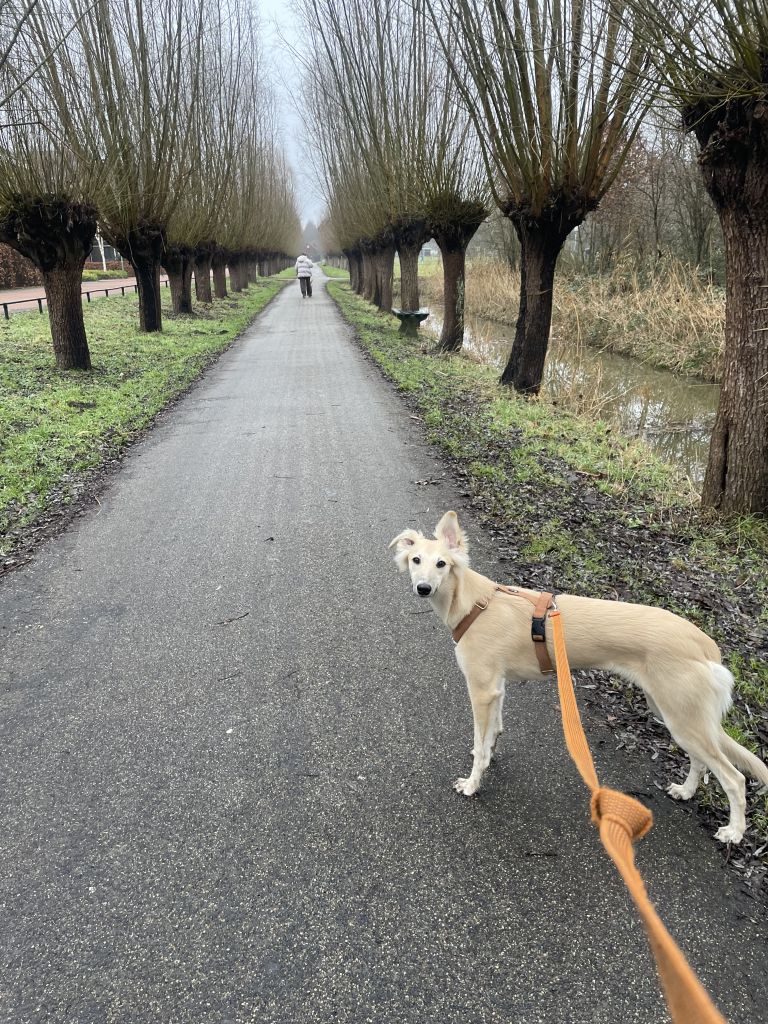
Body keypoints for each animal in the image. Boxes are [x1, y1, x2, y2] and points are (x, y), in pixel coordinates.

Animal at [389, 510, 768, 844]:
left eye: (442, 564)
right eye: (416, 560)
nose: (423, 588)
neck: (474, 605)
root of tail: (707, 645)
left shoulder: (480, 690)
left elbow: (481, 747)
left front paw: (472, 784)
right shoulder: (496, 688)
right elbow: (492, 733)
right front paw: (489, 751)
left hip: (682, 717)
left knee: (733, 778)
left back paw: (734, 832)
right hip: (674, 713)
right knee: (701, 761)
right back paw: (686, 791)